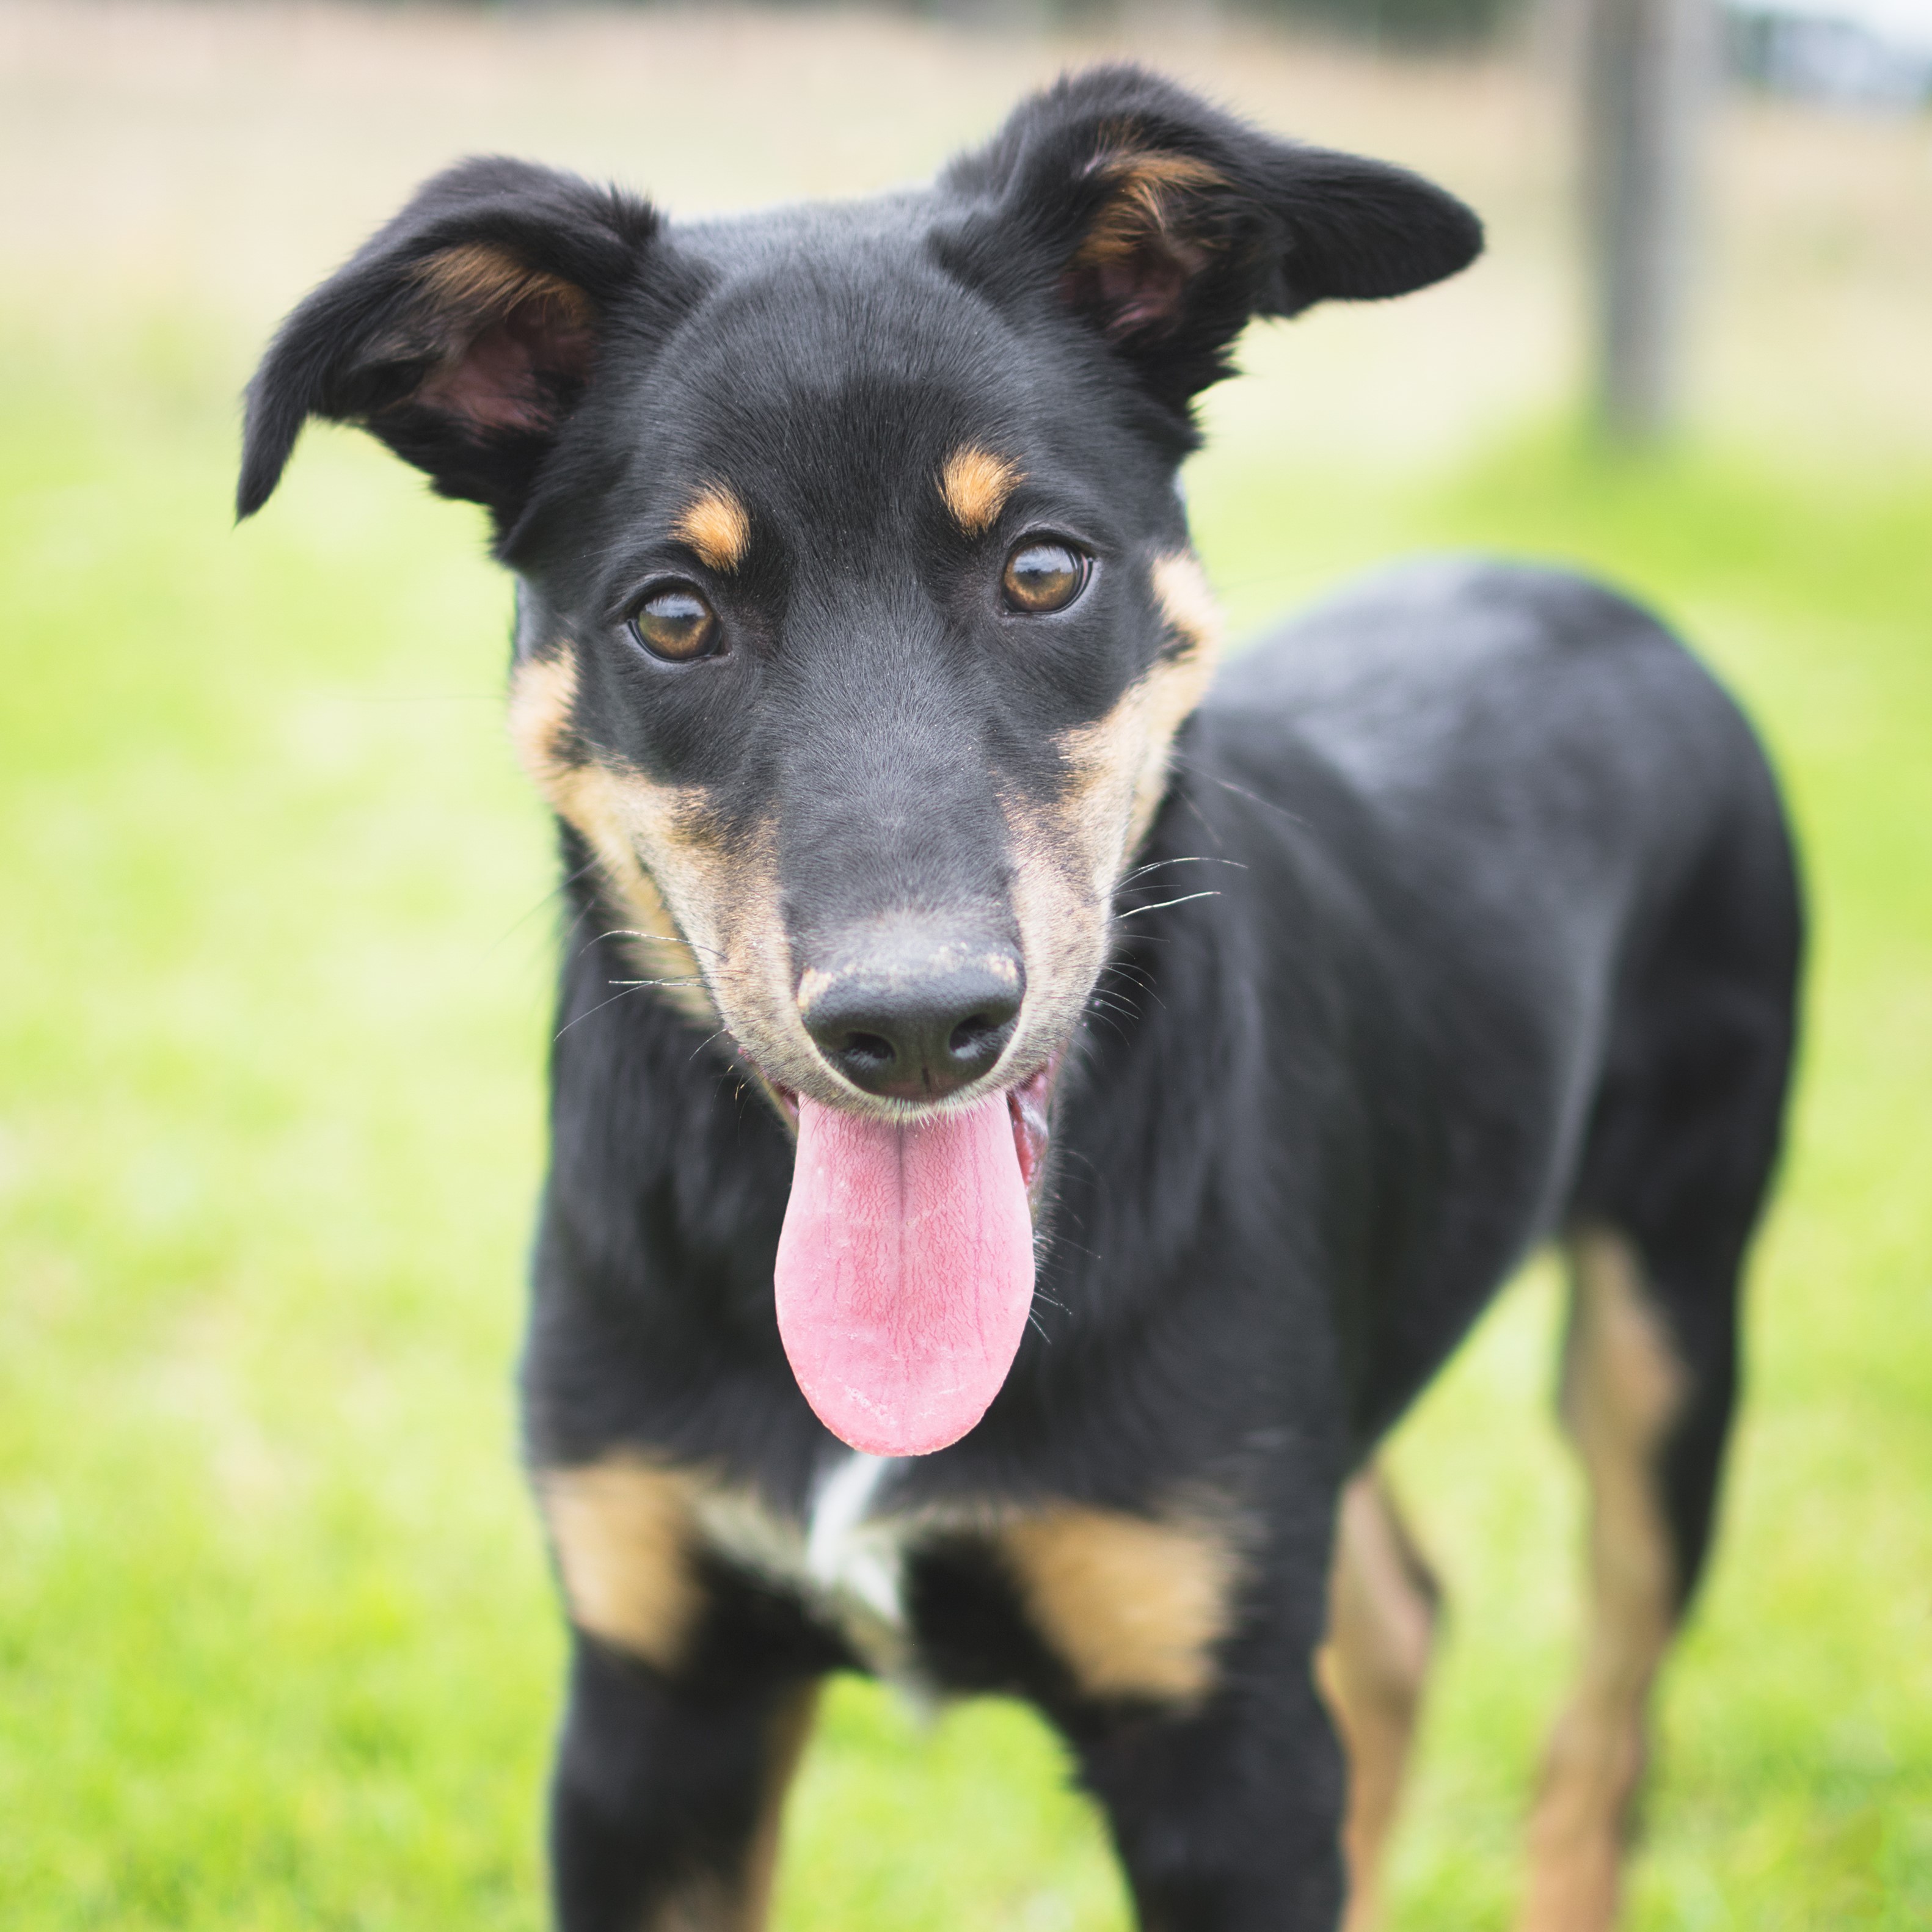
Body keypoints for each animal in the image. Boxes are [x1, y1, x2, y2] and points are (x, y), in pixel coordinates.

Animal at [238, 64, 1793, 1932]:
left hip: (1666, 1317)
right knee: (1400, 1616)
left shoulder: (1217, 1747)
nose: (916, 1026)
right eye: (672, 614)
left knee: (1604, 1718)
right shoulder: (651, 1702)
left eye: (1043, 570)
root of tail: (1601, 596)